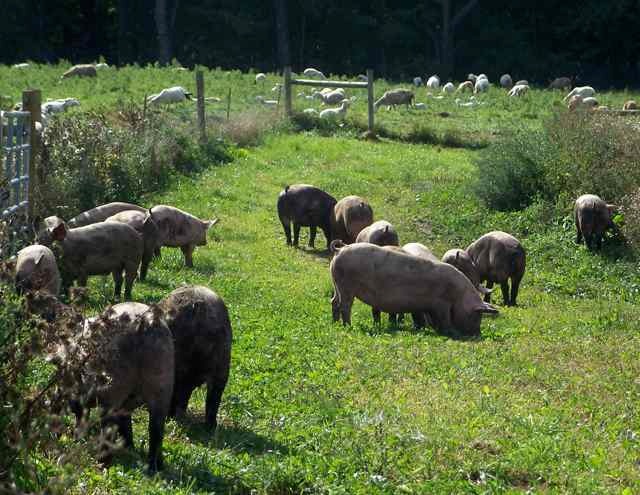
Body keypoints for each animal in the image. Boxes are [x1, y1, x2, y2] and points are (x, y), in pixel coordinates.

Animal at [73, 302, 174, 473]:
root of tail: (147, 323)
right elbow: (126, 423)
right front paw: (128, 446)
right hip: (161, 386)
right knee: (156, 429)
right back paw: (155, 466)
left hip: (113, 388)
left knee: (108, 426)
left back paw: (103, 462)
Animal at [330, 241, 498, 336]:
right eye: (477, 316)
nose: (477, 334)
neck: (458, 295)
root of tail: (340, 250)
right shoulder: (441, 303)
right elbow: (444, 319)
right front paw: (451, 332)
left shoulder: (421, 306)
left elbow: (422, 318)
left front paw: (423, 329)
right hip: (346, 286)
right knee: (345, 306)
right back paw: (348, 326)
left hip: (337, 284)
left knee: (334, 302)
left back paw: (335, 324)